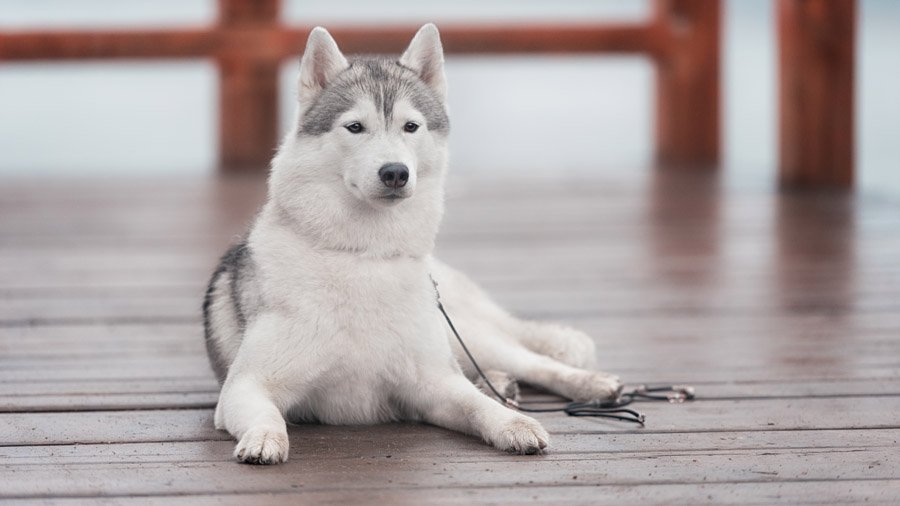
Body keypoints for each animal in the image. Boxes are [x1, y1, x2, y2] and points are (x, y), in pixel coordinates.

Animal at [204, 24, 624, 466]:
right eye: (355, 127)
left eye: (411, 127)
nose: (395, 172)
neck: (365, 256)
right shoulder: (246, 386)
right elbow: (266, 414)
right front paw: (264, 438)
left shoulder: (433, 383)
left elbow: (477, 406)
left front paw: (513, 424)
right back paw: (501, 382)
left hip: (466, 332)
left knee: (530, 360)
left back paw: (588, 384)